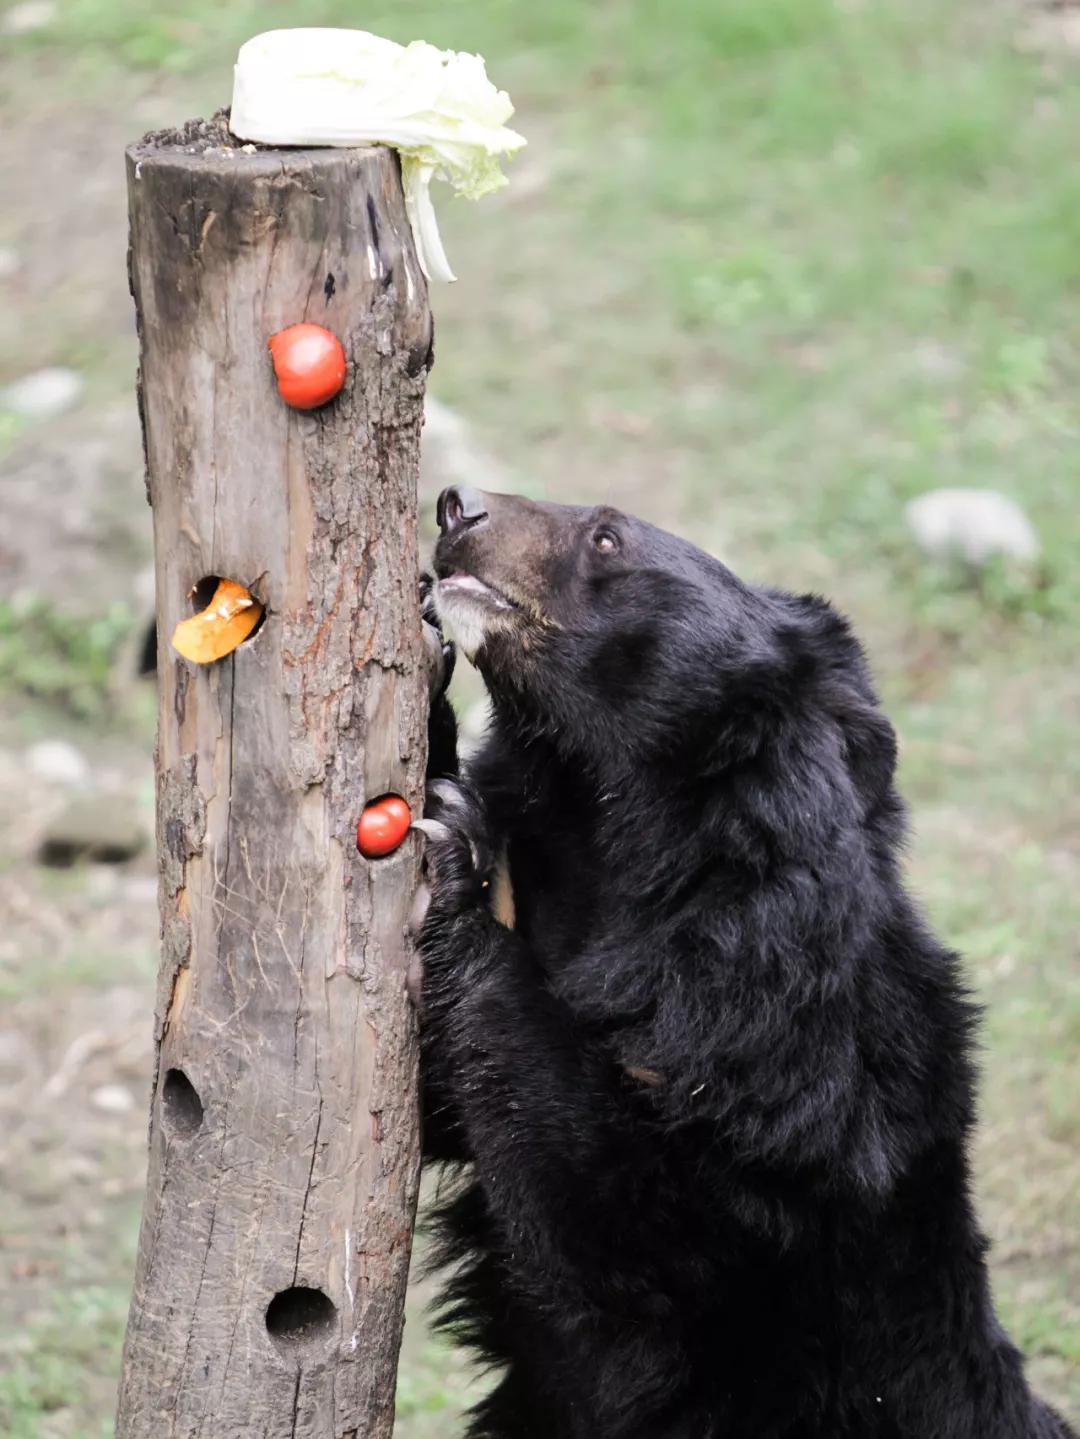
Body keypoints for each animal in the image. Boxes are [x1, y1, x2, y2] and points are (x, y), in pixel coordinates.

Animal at [411, 486, 1075, 1439]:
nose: (455, 504)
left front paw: (452, 853)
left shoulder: (777, 1058)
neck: (606, 847)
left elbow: (623, 1223)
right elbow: (443, 1100)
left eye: (606, 536)